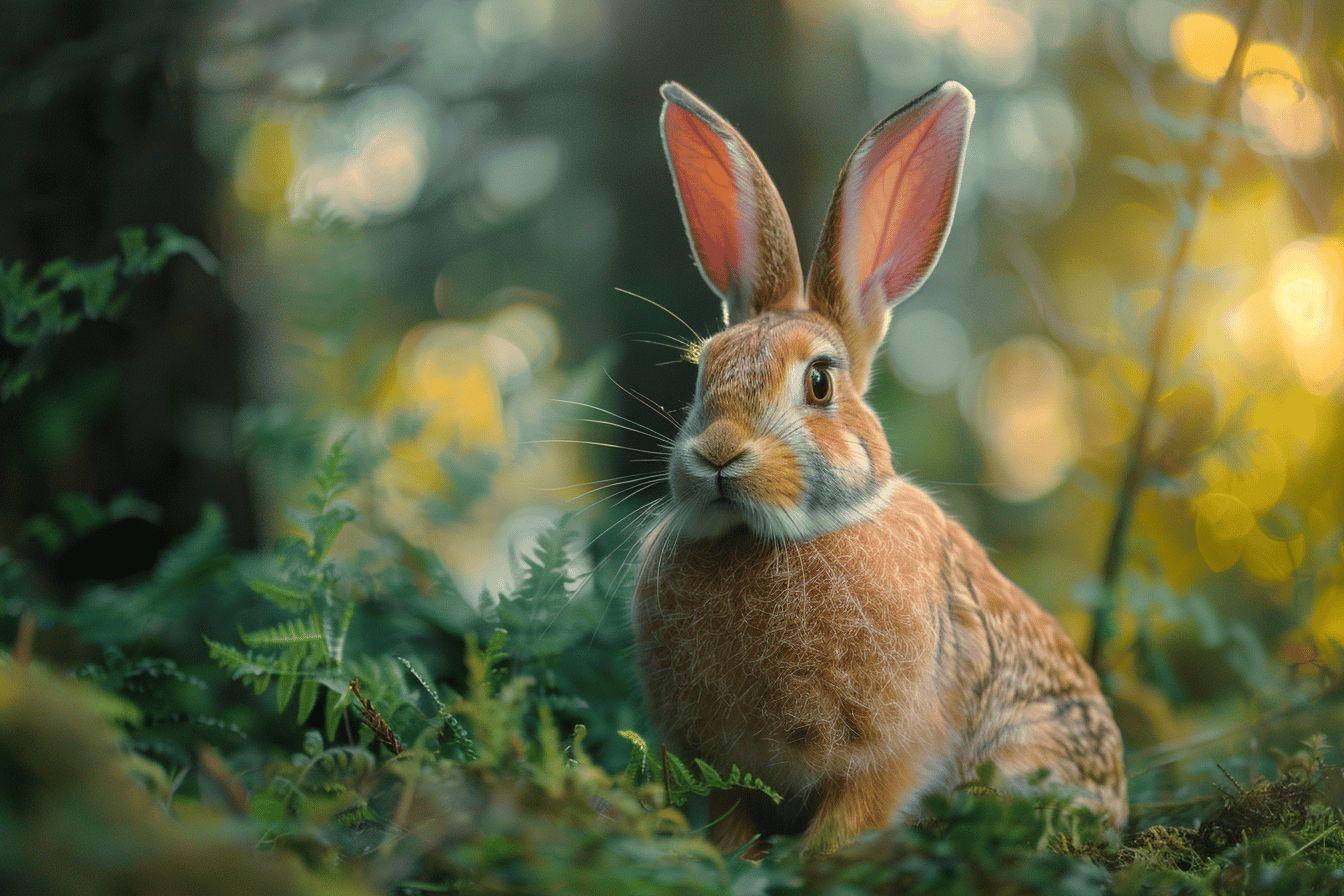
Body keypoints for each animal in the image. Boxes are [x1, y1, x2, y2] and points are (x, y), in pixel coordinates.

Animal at [632, 80, 1126, 854]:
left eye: (819, 383)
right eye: (702, 373)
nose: (716, 454)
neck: (769, 539)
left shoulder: (891, 753)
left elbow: (853, 815)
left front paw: (809, 862)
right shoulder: (720, 766)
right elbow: (733, 822)